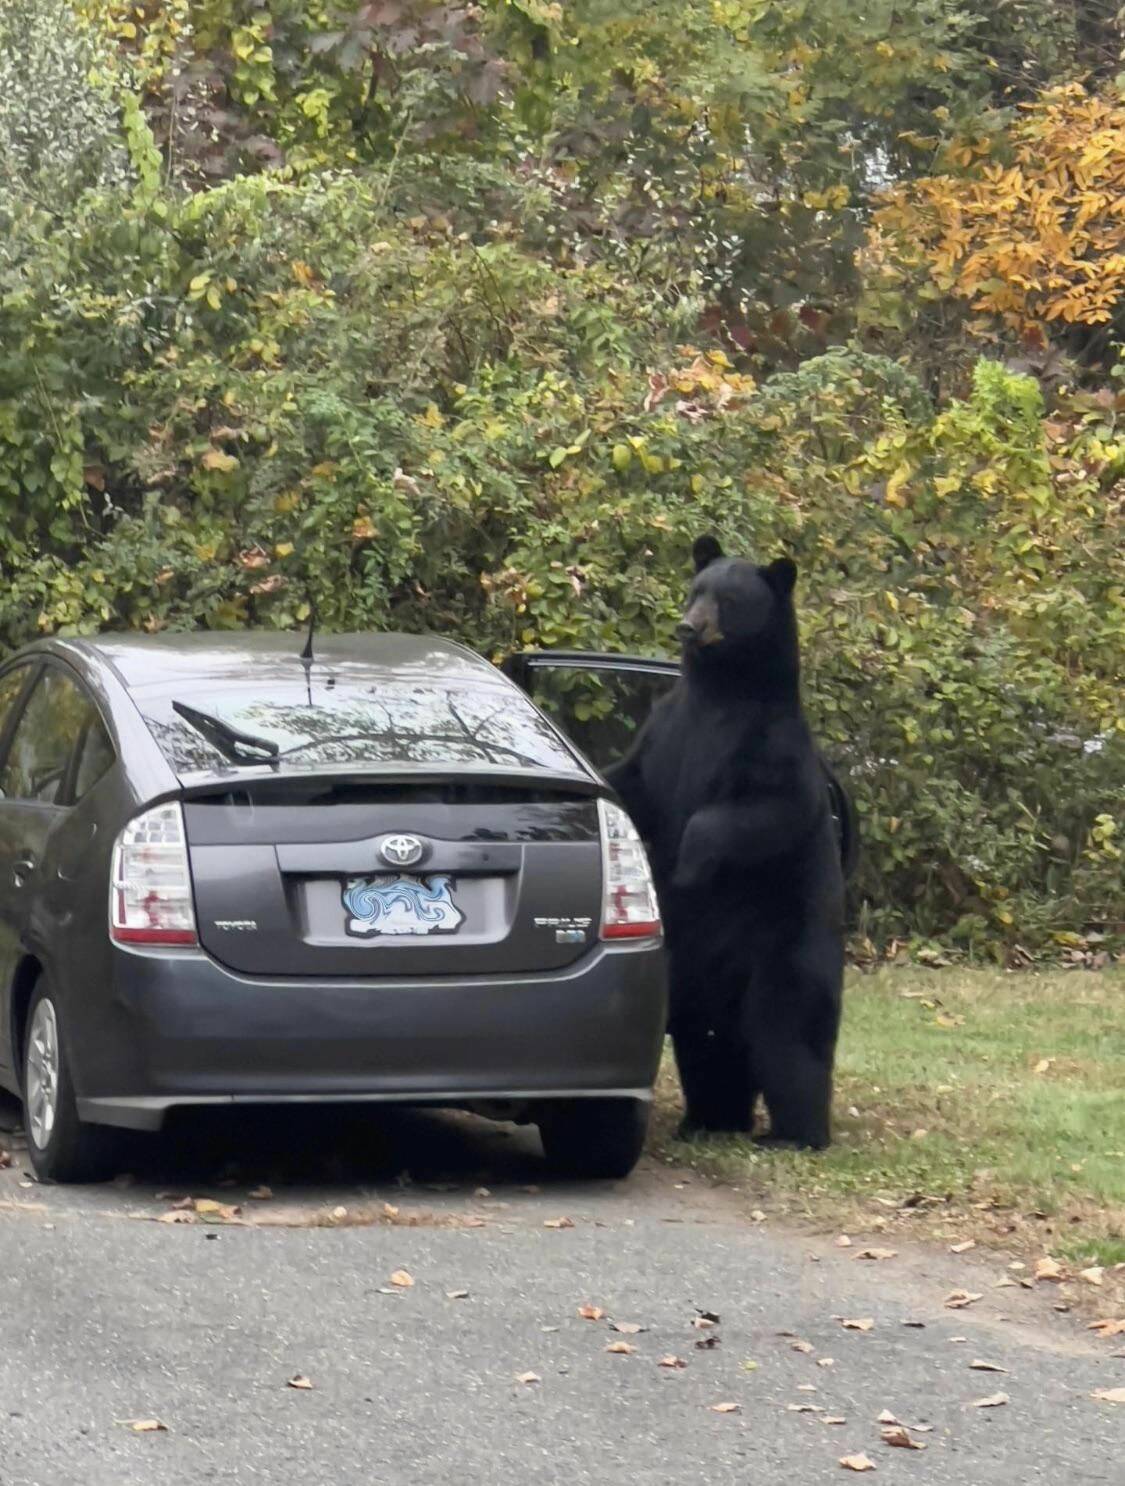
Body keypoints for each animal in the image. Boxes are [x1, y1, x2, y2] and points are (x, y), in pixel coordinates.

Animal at [606, 534, 844, 1147]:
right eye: (697, 589)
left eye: (730, 601)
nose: (689, 627)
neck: (721, 692)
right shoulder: (667, 734)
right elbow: (631, 782)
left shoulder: (772, 747)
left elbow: (763, 811)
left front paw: (688, 863)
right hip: (692, 973)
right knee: (709, 1045)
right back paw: (710, 1119)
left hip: (785, 944)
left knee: (789, 1032)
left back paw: (795, 1131)